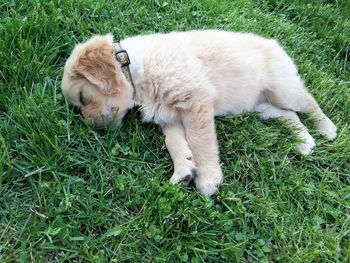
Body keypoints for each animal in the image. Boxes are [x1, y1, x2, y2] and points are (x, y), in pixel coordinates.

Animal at [61, 30, 338, 196]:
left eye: (83, 98)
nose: (94, 128)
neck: (136, 67)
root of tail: (275, 44)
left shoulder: (196, 101)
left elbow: (200, 142)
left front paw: (208, 179)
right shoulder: (169, 116)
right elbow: (175, 143)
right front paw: (184, 171)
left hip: (282, 87)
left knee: (309, 104)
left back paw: (327, 129)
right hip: (263, 105)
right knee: (290, 114)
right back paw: (304, 142)